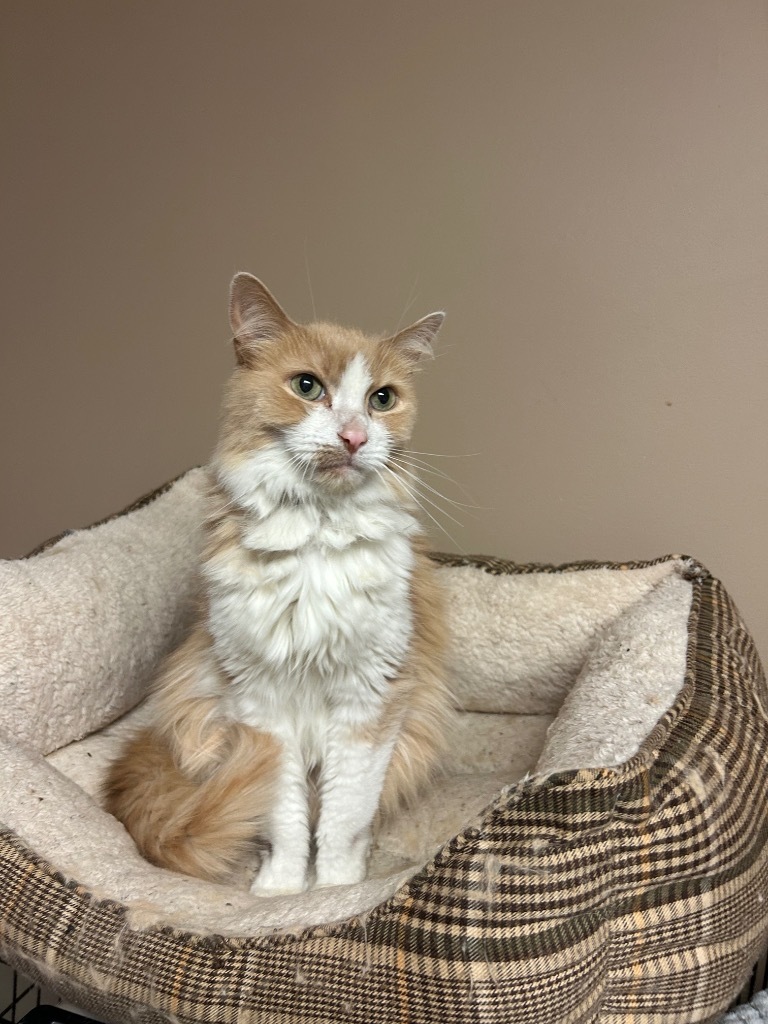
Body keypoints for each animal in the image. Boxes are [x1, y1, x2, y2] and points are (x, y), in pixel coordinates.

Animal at [102, 274, 450, 897]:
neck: (316, 536)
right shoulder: (261, 703)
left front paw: (334, 892)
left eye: (382, 399)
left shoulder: (369, 699)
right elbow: (285, 818)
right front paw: (281, 891)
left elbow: (341, 818)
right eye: (307, 386)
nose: (354, 437)